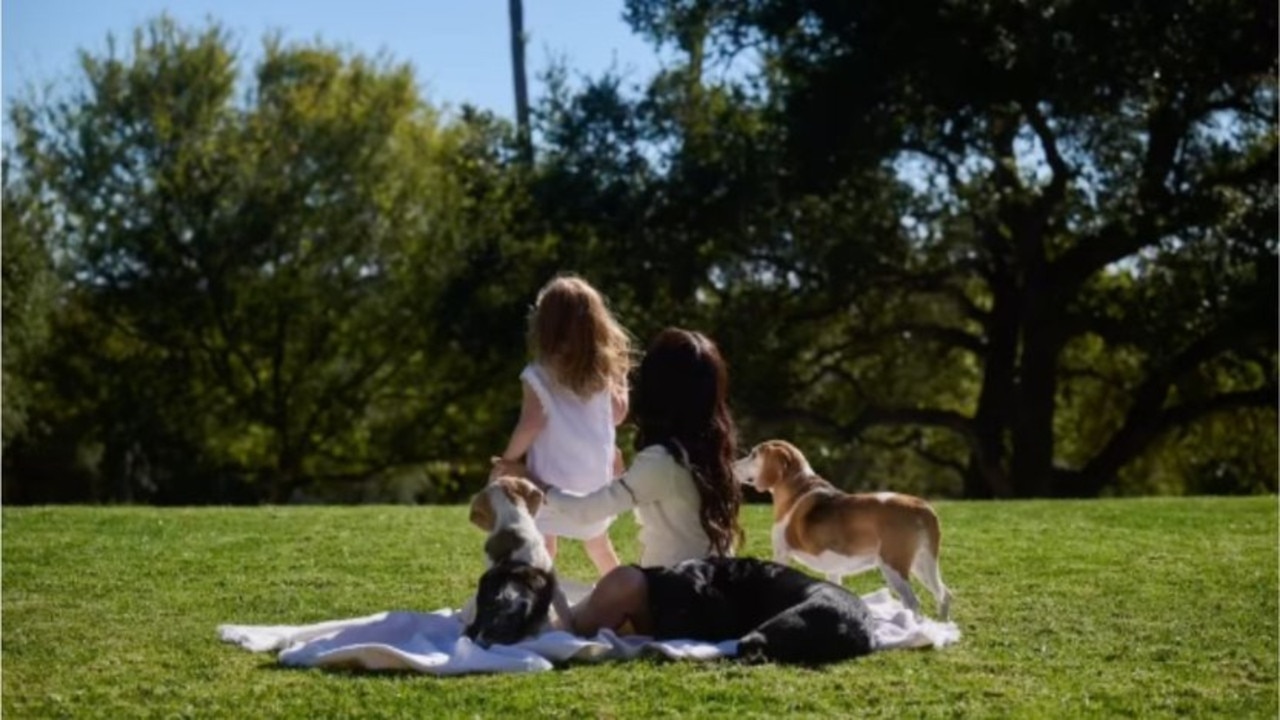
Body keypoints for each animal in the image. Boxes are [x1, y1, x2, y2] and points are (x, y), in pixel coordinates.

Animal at [732, 438, 952, 617]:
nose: (732, 465)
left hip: (894, 566)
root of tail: (921, 506)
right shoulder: (833, 570)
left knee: (913, 602)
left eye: (753, 454)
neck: (798, 488)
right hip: (922, 565)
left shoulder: (781, 554)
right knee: (945, 594)